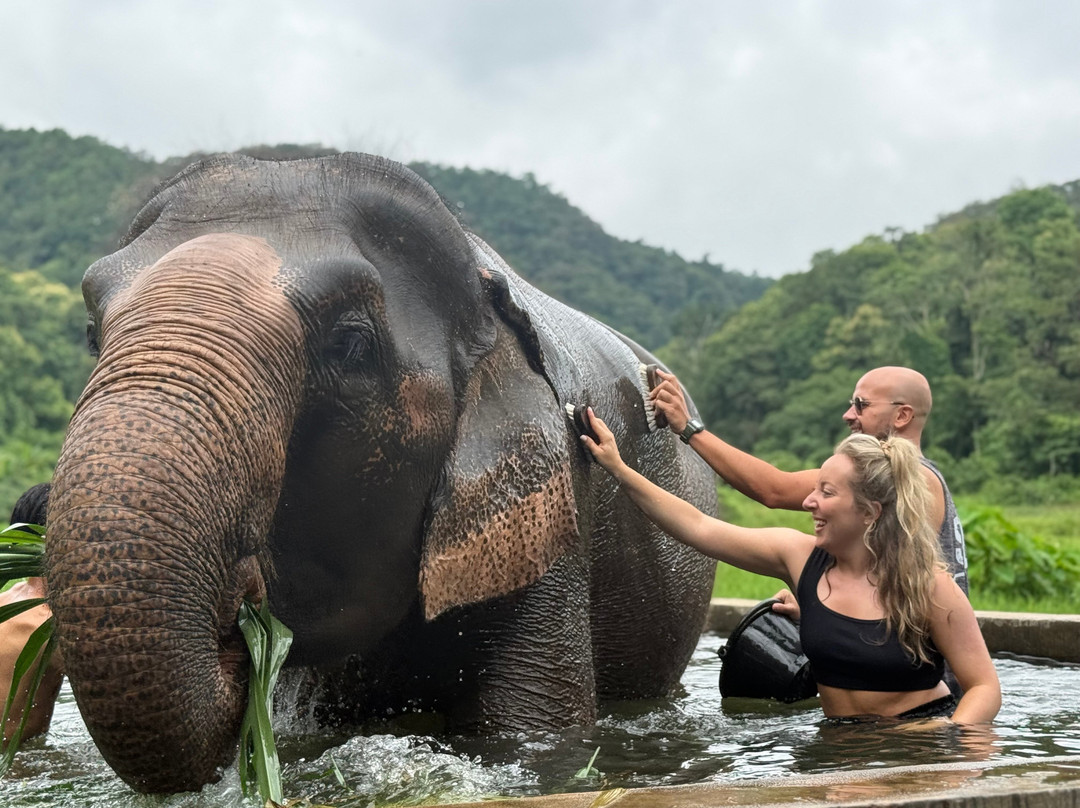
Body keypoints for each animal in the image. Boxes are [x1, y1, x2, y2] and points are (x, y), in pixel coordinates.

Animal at [44, 152, 718, 793]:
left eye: (350, 345)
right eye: (91, 333)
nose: (236, 622)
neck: (481, 288)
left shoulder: (551, 523)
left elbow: (533, 726)